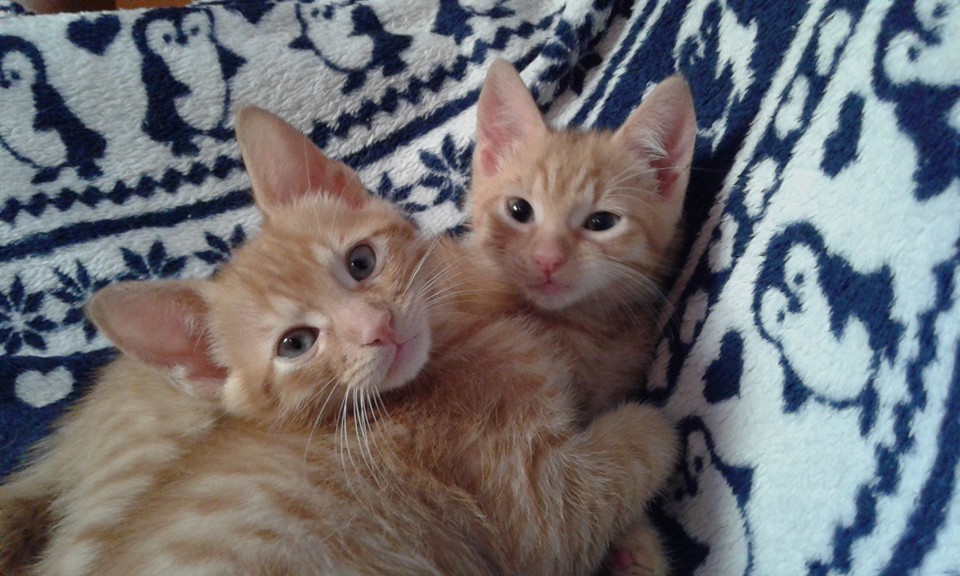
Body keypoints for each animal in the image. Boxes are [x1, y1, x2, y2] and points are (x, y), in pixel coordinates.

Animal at [0, 106, 678, 576]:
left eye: (361, 262)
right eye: (295, 344)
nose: (376, 327)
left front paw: (637, 549)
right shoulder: (538, 508)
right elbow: (626, 456)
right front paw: (655, 425)